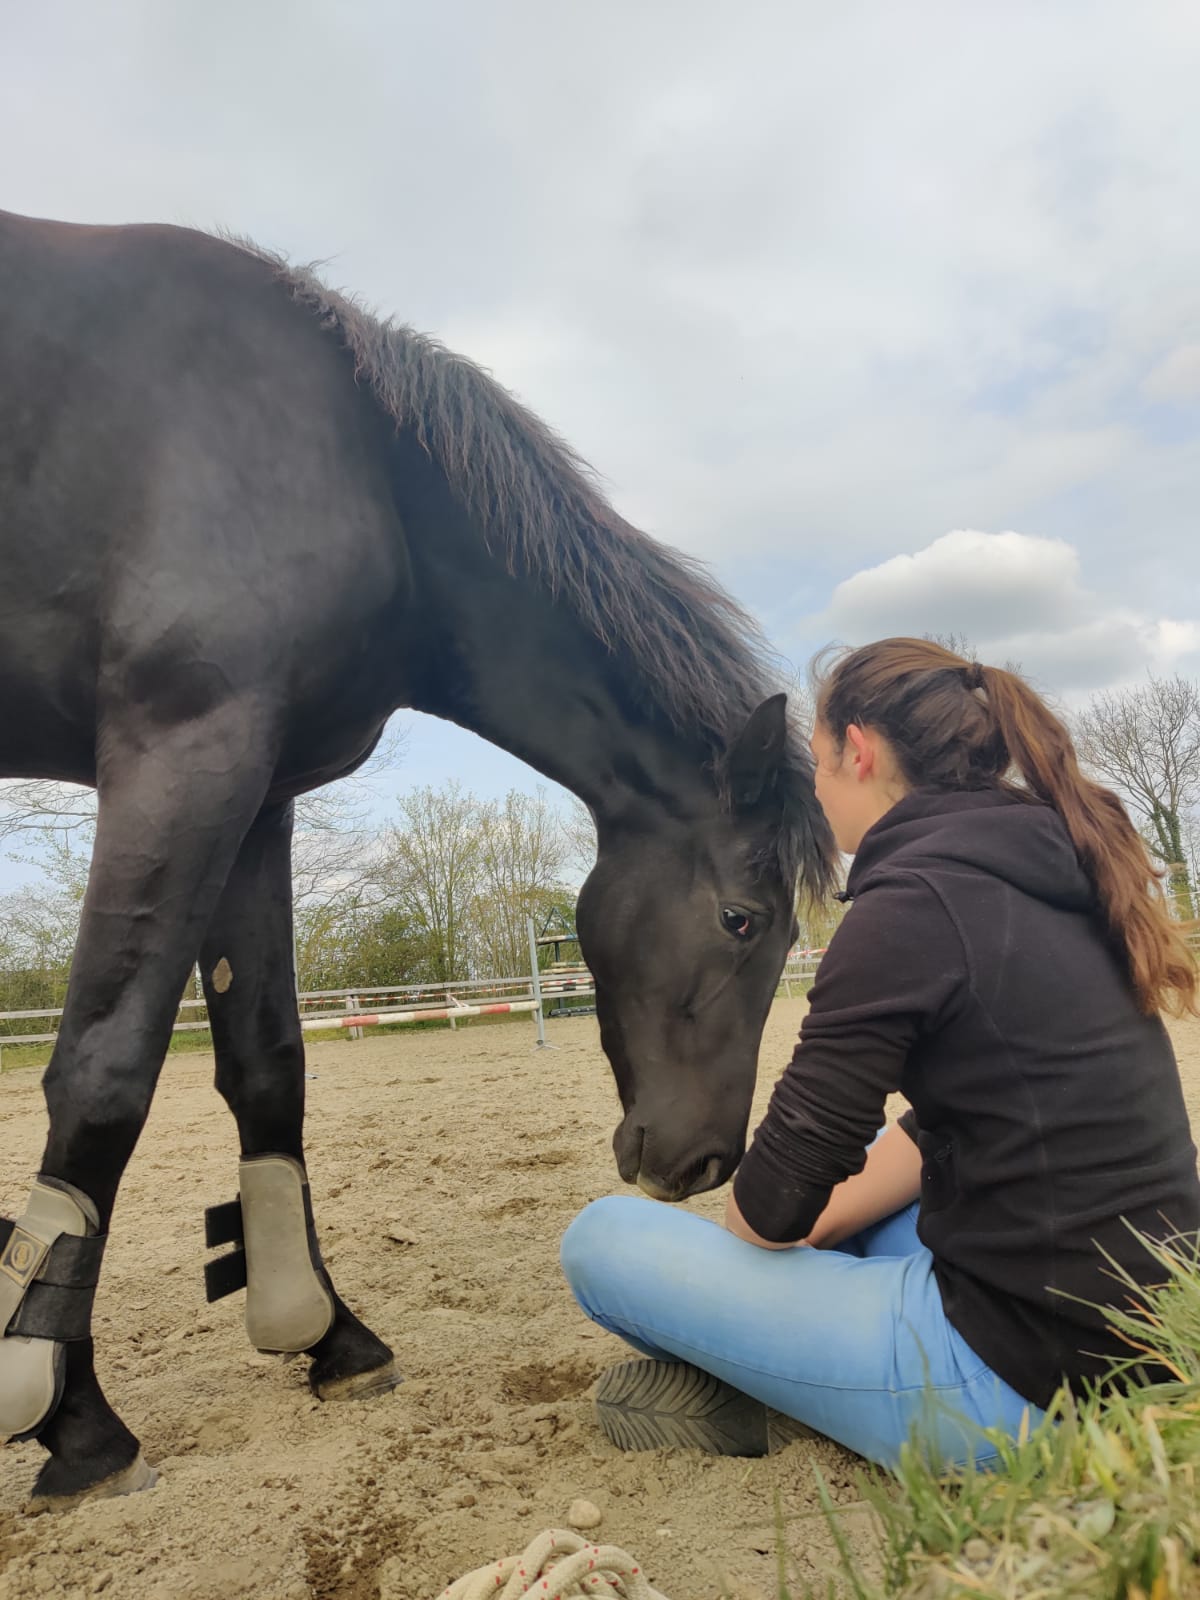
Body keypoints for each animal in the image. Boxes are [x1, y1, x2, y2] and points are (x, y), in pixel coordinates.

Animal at [0, 209, 838, 1497]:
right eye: (742, 921)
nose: (704, 1166)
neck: (356, 466)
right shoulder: (183, 749)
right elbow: (103, 1068)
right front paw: (75, 1418)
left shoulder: (257, 790)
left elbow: (267, 1063)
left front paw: (325, 1333)